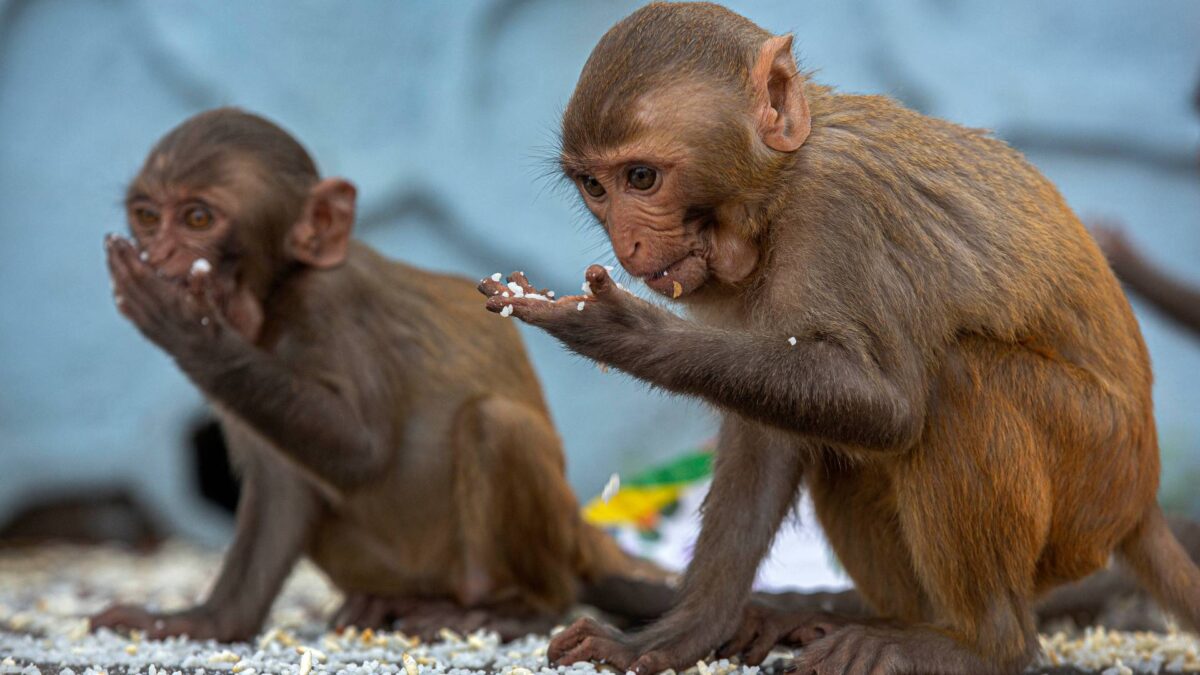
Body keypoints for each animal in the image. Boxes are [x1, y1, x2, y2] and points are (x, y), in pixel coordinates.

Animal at [94, 106, 667, 638]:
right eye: (147, 217)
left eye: (196, 219)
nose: (158, 253)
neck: (274, 300)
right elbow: (282, 487)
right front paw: (203, 623)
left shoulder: (333, 302)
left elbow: (362, 450)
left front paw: (191, 332)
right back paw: (385, 603)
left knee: (494, 424)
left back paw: (523, 610)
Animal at [477, 5, 1200, 672]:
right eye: (594, 186)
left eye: (642, 178)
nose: (628, 245)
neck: (774, 194)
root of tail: (1141, 500)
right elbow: (768, 439)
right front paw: (680, 632)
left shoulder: (836, 213)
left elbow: (890, 406)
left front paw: (620, 330)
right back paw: (867, 621)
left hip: (1092, 475)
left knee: (957, 381)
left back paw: (981, 643)